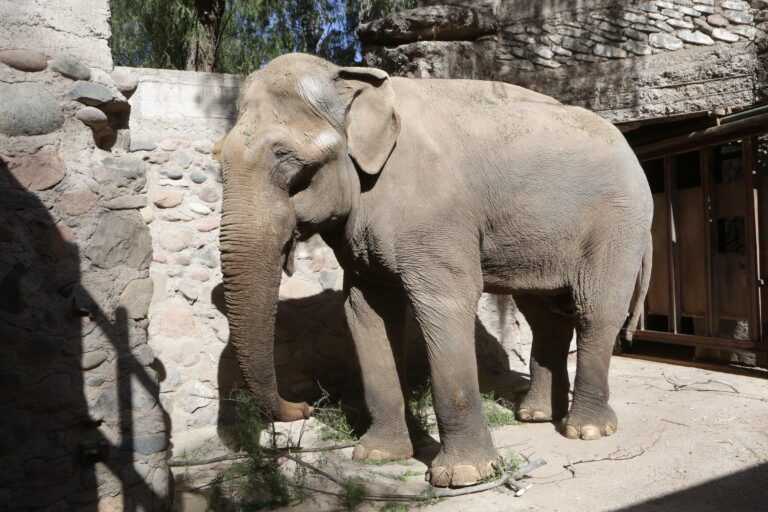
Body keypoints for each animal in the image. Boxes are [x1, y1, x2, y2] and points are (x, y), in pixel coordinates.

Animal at [216, 52, 656, 488]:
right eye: (217, 156)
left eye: (285, 158)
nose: (307, 407)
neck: (350, 79)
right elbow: (365, 312)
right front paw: (377, 455)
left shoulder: (435, 215)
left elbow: (444, 304)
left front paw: (463, 476)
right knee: (544, 314)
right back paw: (535, 415)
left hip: (618, 221)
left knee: (595, 310)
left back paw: (586, 430)